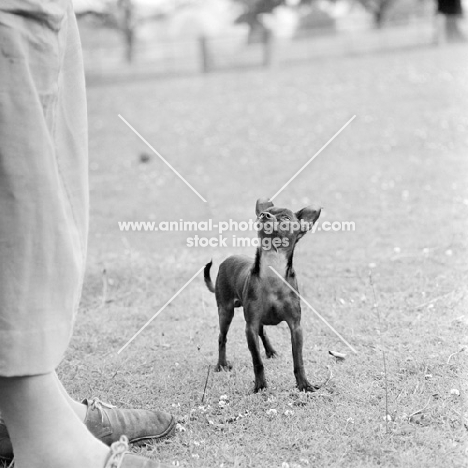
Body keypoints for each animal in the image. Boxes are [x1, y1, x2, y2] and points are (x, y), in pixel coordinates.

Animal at [205, 197, 322, 392]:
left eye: (285, 218)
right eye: (262, 214)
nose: (264, 215)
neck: (272, 268)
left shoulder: (295, 327)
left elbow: (298, 360)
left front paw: (304, 384)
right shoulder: (250, 326)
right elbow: (257, 361)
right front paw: (260, 385)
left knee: (263, 332)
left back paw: (270, 351)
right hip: (226, 311)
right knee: (222, 338)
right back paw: (221, 364)